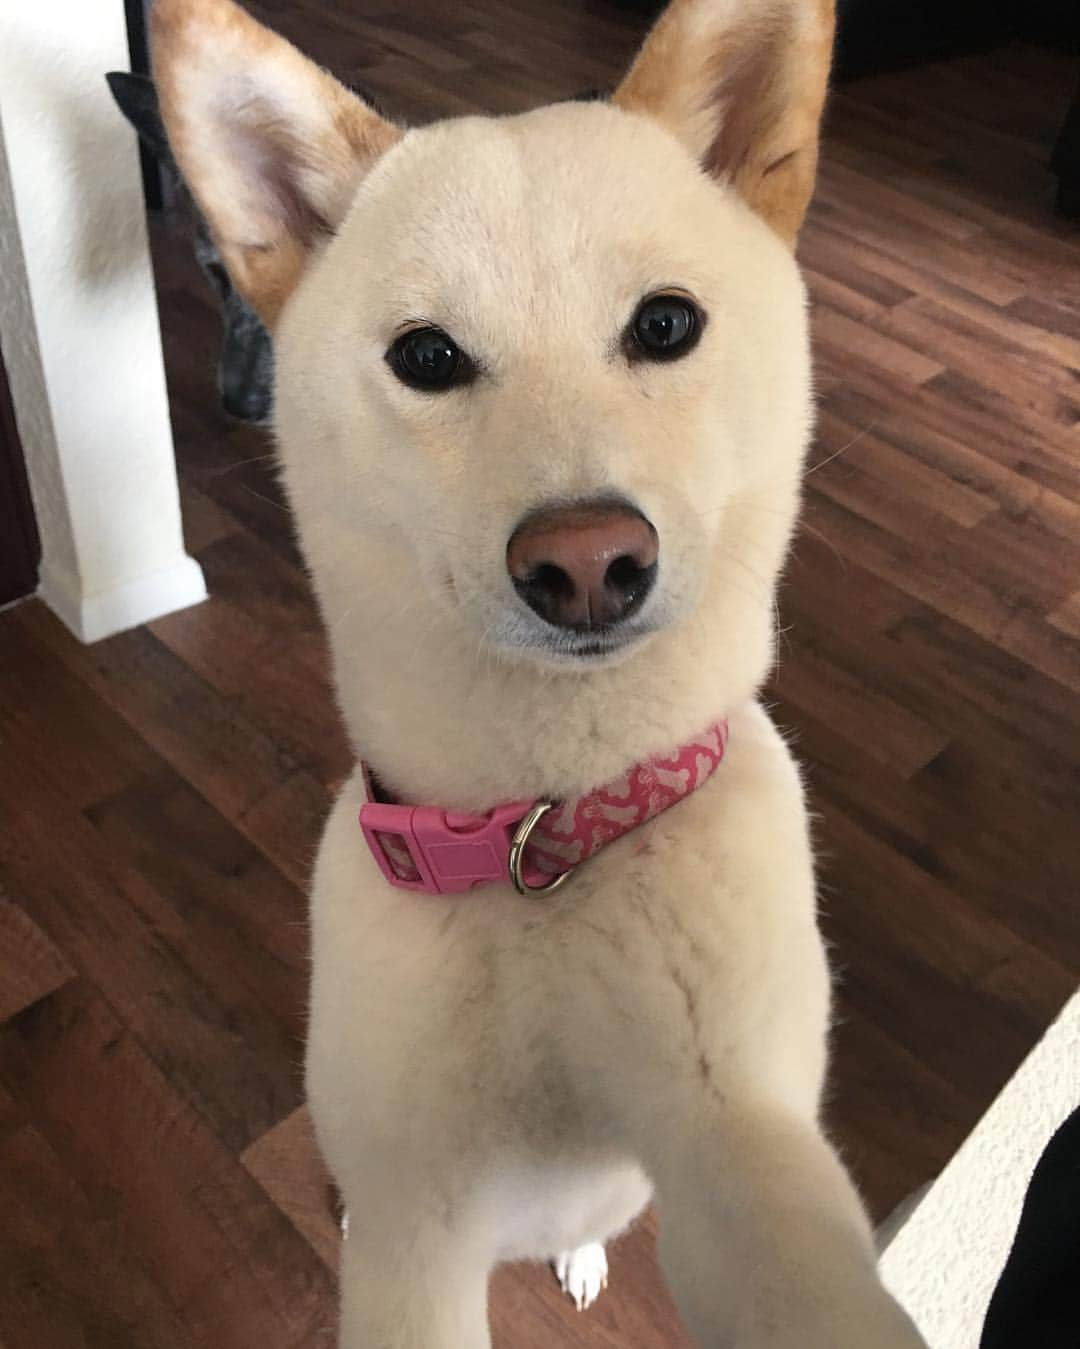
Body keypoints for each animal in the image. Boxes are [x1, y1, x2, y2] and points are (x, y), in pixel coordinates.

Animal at [149, 0, 927, 1343]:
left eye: (664, 324)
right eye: (426, 355)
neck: (544, 838)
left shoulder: (737, 1117)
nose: (585, 561)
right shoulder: (415, 1215)